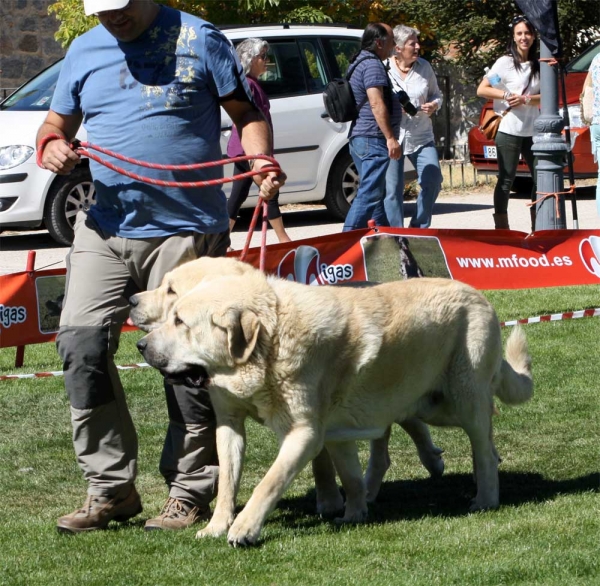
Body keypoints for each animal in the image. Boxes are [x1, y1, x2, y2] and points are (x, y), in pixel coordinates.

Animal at [134, 262, 532, 544]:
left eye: (179, 320)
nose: (140, 347)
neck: (269, 345)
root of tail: (480, 296)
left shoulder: (305, 433)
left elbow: (270, 482)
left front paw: (244, 529)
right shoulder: (234, 425)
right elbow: (232, 482)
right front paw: (217, 526)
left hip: (459, 399)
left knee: (482, 443)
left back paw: (485, 497)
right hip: (429, 404)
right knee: (475, 439)